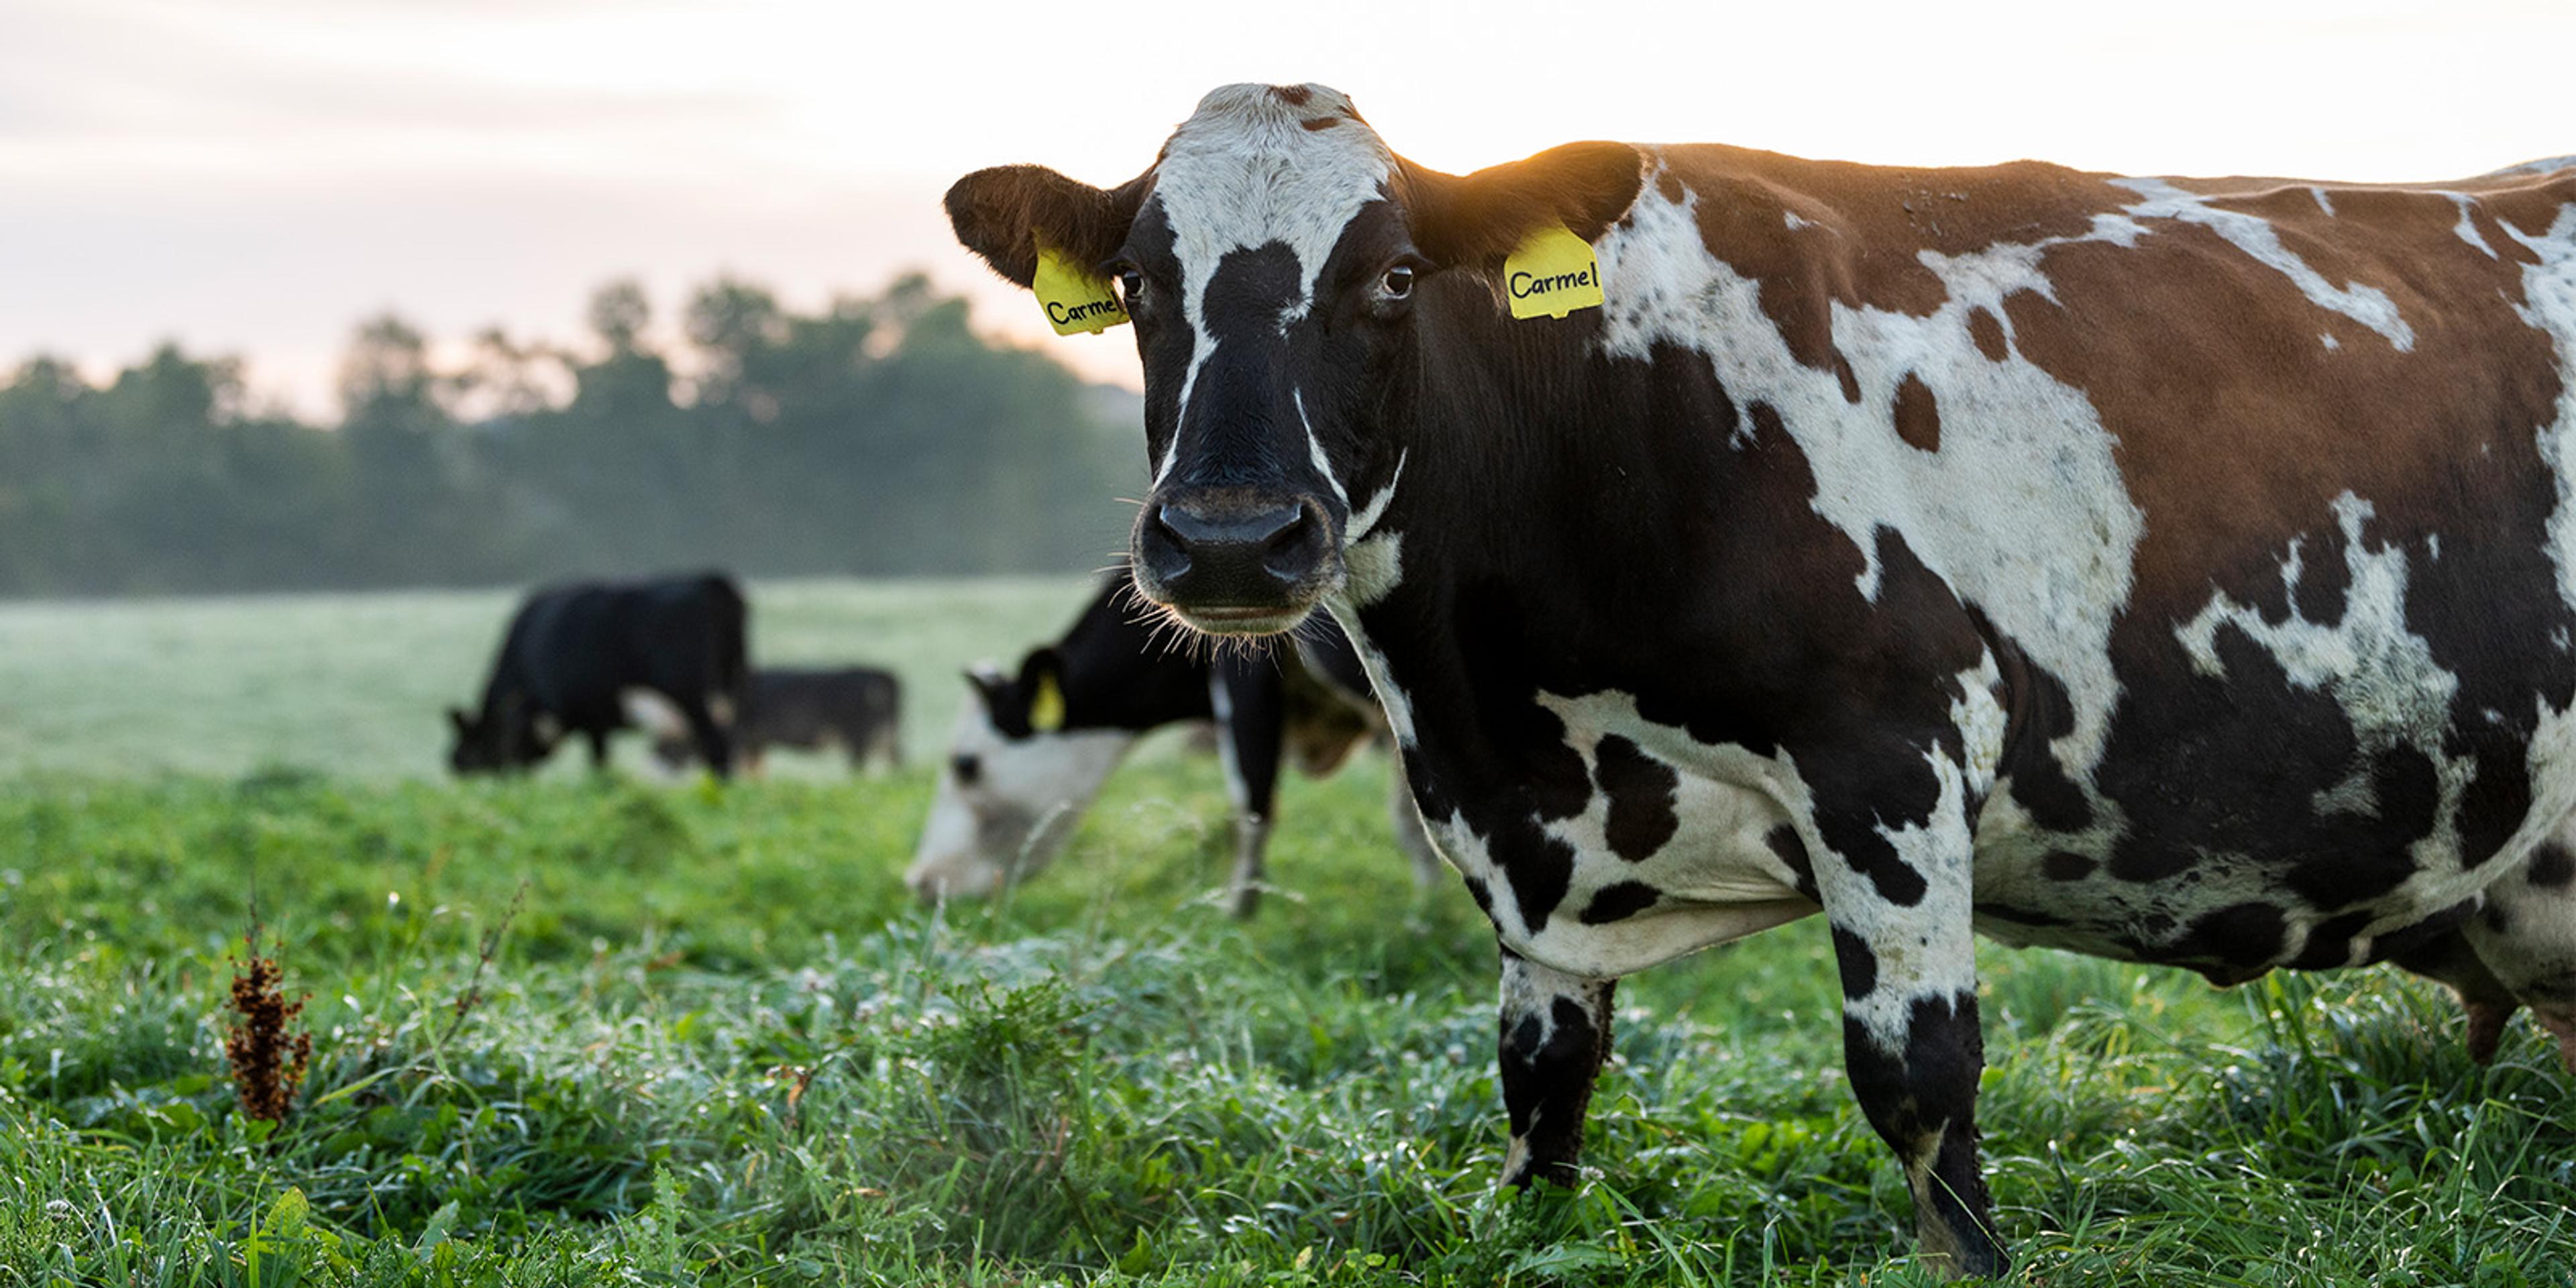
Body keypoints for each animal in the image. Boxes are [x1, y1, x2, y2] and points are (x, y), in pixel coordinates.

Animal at [443, 572, 741, 773]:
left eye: (473, 750)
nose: (454, 767)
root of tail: (709, 582)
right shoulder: (597, 720)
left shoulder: (589, 716)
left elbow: (598, 762)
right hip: (731, 683)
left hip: (690, 694)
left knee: (715, 741)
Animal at [644, 664, 906, 773]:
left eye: (667, 743)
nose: (653, 757)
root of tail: (884, 677)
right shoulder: (756, 744)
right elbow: (758, 775)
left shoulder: (742, 740)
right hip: (887, 737)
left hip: (860, 738)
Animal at [906, 569, 1442, 912]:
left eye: (964, 765)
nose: (923, 880)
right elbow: (1413, 821)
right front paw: (1428, 914)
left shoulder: (1243, 672)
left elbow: (1253, 806)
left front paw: (1235, 916)